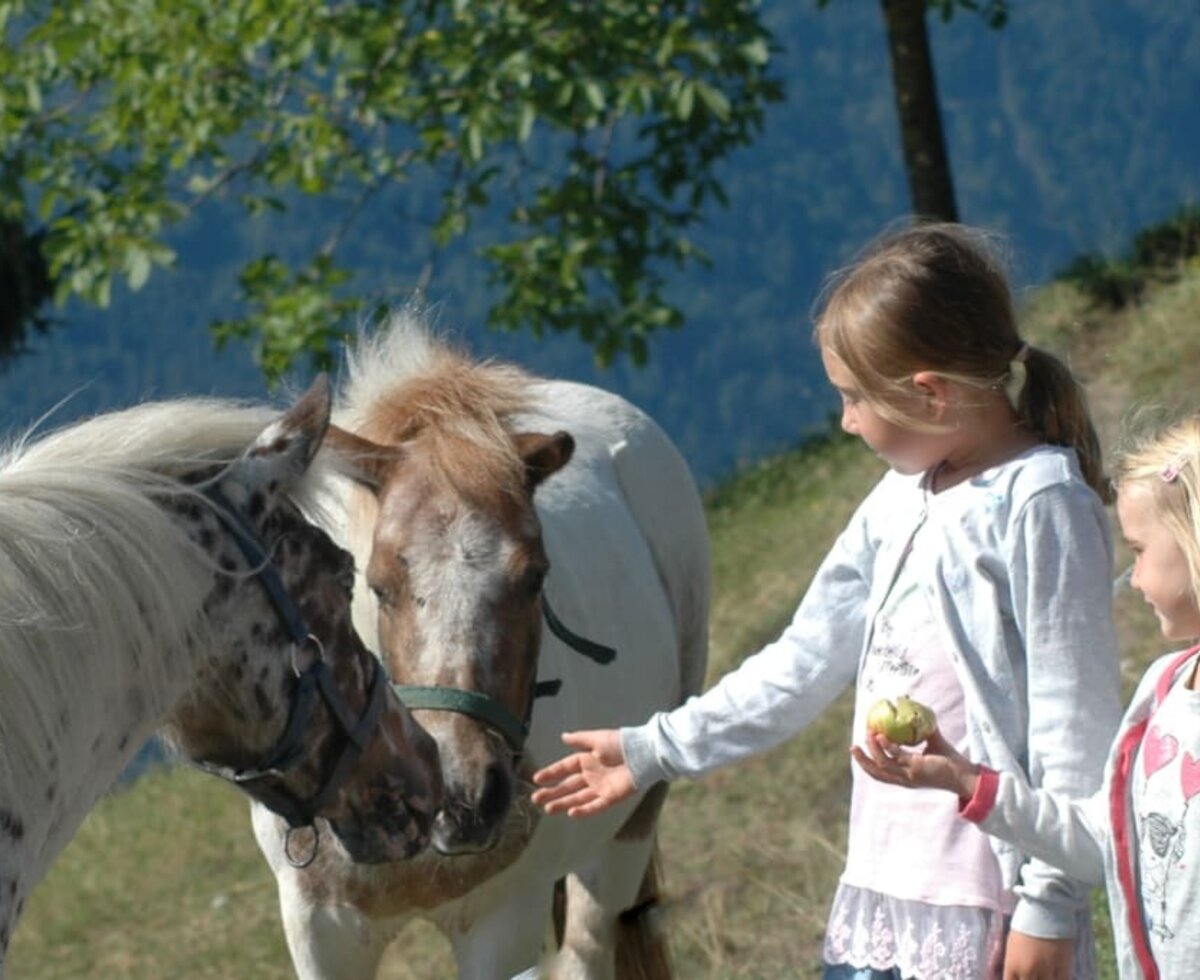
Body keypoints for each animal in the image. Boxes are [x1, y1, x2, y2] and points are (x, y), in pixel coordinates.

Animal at [248, 314, 705, 978]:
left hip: (630, 824)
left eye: (536, 577)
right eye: (377, 584)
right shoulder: (319, 928)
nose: (462, 795)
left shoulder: (501, 922)